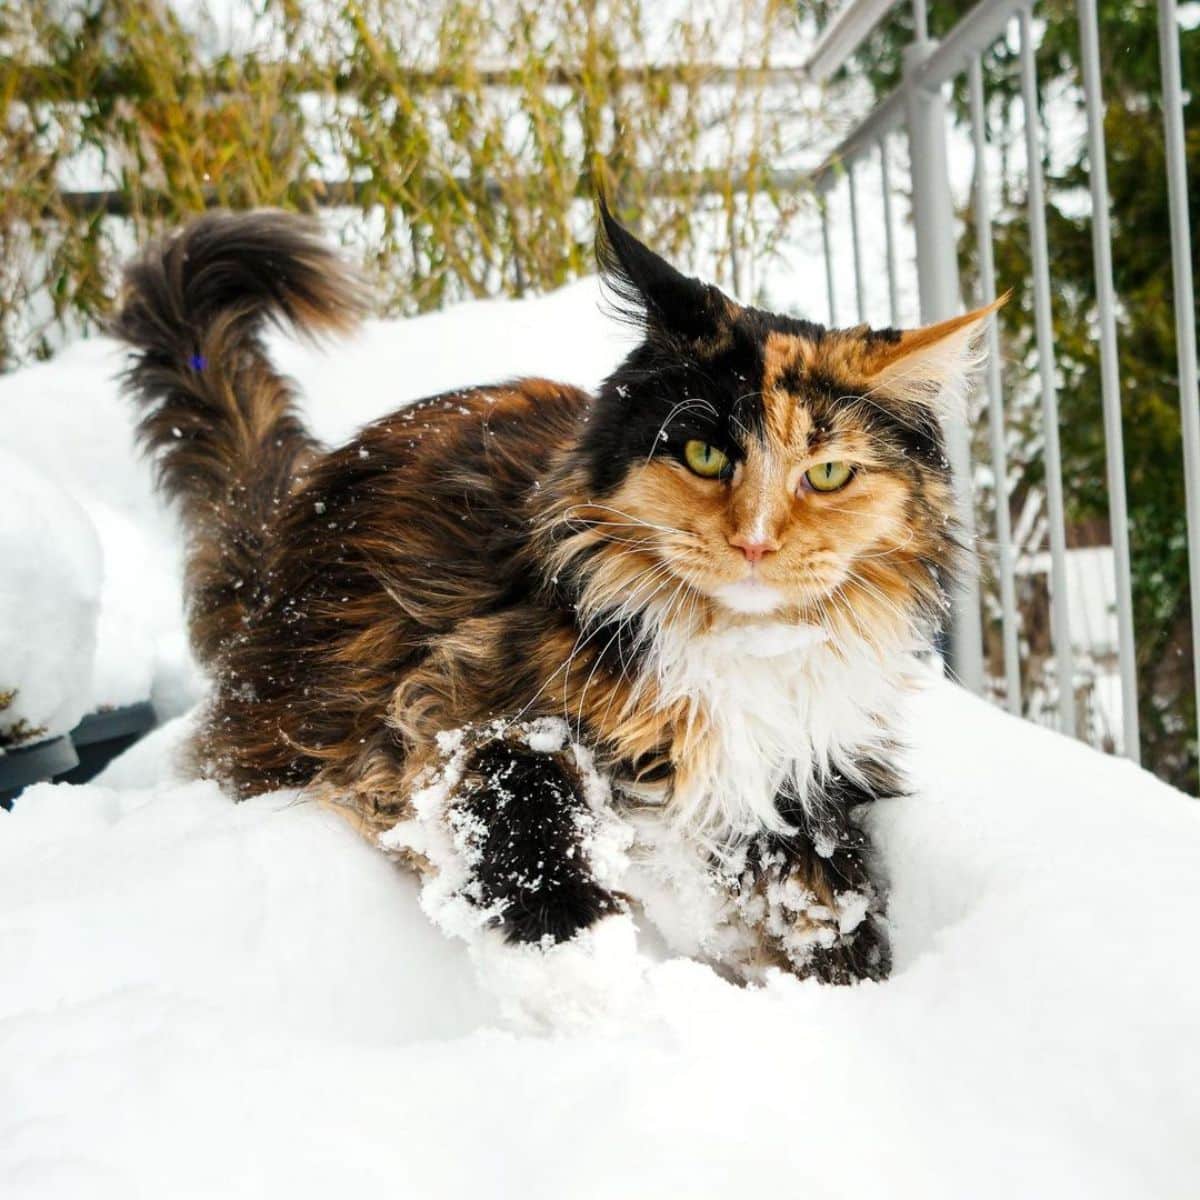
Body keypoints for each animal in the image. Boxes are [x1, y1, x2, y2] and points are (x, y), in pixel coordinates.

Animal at [112, 206, 993, 988]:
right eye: (706, 455)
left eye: (829, 473)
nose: (755, 542)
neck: (731, 649)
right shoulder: (456, 706)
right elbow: (525, 809)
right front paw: (577, 977)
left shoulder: (800, 779)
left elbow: (828, 897)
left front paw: (849, 987)